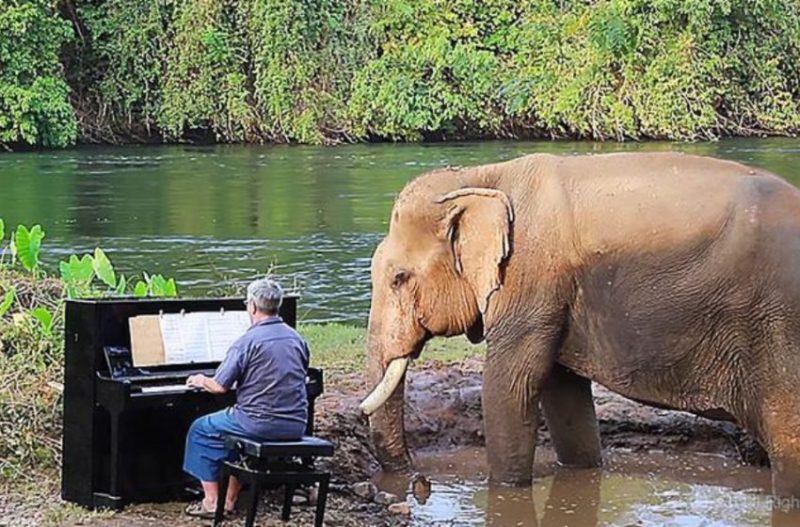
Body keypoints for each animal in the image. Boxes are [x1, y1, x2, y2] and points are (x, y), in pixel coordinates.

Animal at [359, 152, 800, 499]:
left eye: (399, 278)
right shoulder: (557, 297)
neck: (483, 176)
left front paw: (504, 490)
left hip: (779, 330)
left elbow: (510, 385)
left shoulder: (530, 279)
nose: (419, 482)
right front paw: (582, 470)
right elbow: (561, 389)